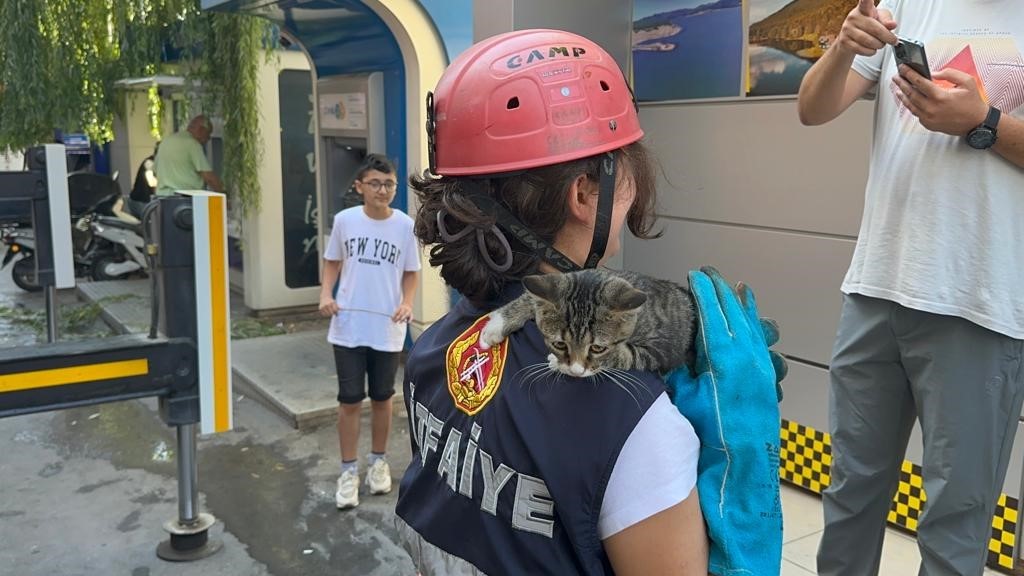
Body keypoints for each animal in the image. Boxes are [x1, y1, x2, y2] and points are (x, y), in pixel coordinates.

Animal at [479, 268, 696, 377]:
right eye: (560, 344)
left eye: (597, 348)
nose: (575, 371)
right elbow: (531, 298)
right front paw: (497, 324)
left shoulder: (663, 349)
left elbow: (626, 354)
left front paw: (557, 363)